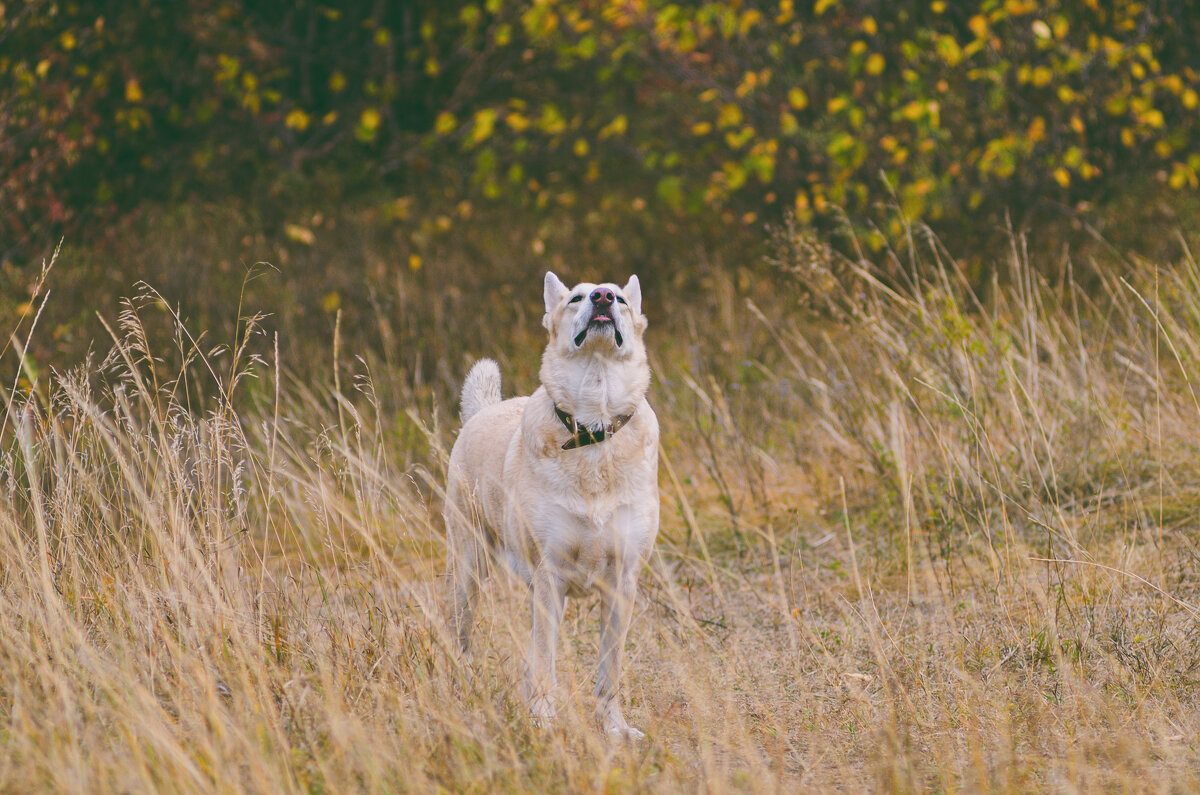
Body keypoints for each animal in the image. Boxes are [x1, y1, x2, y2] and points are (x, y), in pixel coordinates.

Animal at [446, 272, 662, 739]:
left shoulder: (622, 583)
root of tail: (483, 411)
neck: (593, 429)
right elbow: (545, 661)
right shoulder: (550, 578)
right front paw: (542, 722)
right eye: (577, 297)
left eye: (620, 298)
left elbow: (609, 671)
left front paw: (615, 729)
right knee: (460, 637)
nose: (603, 298)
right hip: (468, 569)